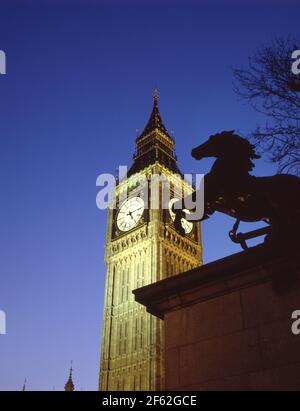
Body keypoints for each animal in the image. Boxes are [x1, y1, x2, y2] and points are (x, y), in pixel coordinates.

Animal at [172, 130, 300, 249]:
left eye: (212, 139)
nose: (194, 151)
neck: (229, 172)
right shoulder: (210, 204)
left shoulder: (208, 197)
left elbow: (177, 205)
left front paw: (180, 227)